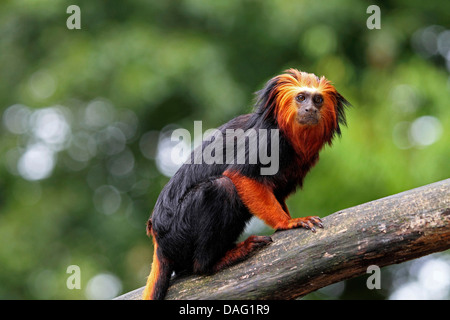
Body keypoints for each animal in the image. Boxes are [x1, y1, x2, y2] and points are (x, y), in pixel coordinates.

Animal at [142, 68, 350, 300]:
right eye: (301, 98)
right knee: (222, 188)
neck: (288, 132)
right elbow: (240, 176)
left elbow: (277, 193)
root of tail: (158, 240)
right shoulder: (268, 140)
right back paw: (214, 261)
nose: (310, 109)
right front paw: (287, 222)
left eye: (318, 100)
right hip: (179, 232)